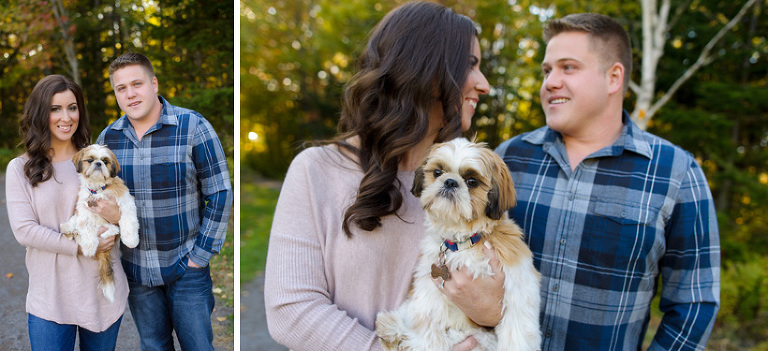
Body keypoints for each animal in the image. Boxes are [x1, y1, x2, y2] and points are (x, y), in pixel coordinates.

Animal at [60, 144, 140, 302]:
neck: (97, 190)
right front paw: (89, 247)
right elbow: (86, 227)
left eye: (105, 161)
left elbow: (128, 219)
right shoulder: (84, 209)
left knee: (114, 229)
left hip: (110, 226)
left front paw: (131, 240)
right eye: (90, 160)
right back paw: (70, 231)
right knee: (74, 225)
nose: (98, 163)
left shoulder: (125, 200)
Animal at [376, 138, 540, 351]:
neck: (463, 241)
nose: (450, 181)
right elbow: (427, 314)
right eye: (438, 172)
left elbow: (518, 323)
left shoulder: (518, 279)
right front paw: (426, 343)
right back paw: (392, 328)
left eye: (472, 181)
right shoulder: (430, 280)